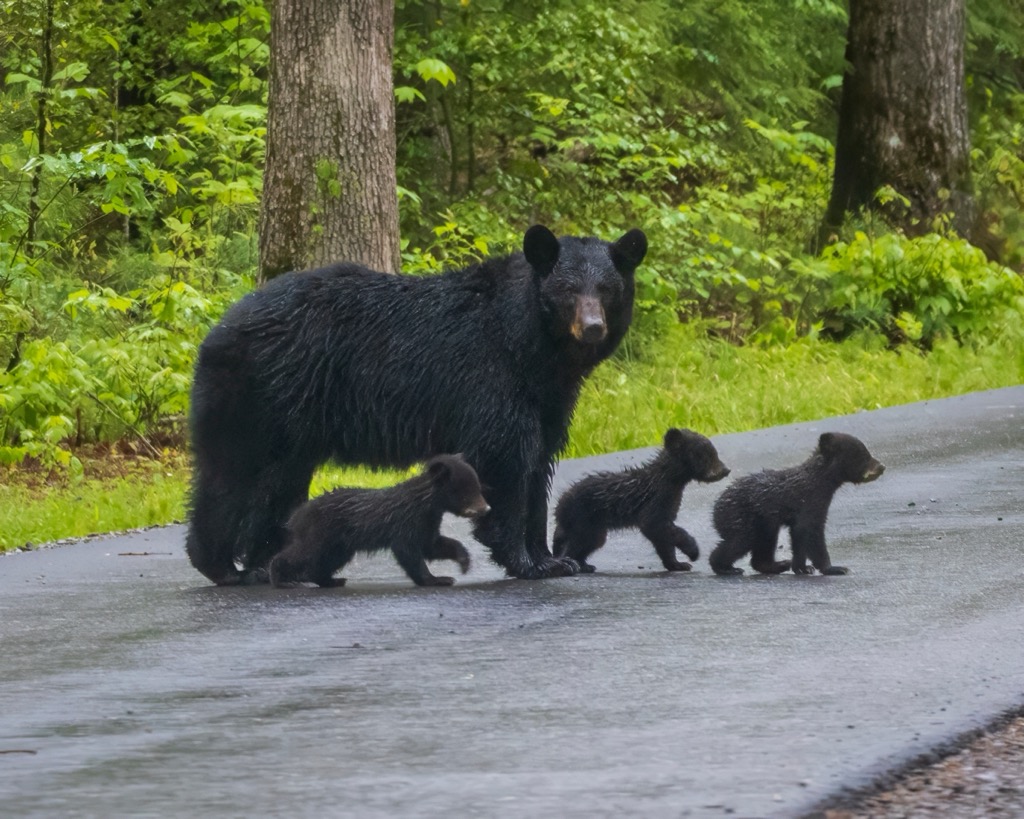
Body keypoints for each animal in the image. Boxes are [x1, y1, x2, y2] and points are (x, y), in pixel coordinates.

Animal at [269, 454, 490, 588]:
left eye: (478, 487)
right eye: (466, 492)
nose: (485, 509)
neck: (425, 503)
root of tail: (296, 516)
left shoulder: (428, 522)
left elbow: (433, 545)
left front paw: (464, 562)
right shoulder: (405, 521)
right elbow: (407, 551)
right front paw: (436, 579)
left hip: (340, 544)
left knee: (326, 561)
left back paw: (332, 580)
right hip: (320, 533)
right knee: (303, 553)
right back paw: (281, 578)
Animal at [552, 428, 730, 573]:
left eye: (714, 452)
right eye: (706, 454)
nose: (726, 470)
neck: (670, 480)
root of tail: (559, 506)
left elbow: (663, 538)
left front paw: (677, 564)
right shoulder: (656, 499)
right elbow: (653, 524)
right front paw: (693, 552)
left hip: (593, 525)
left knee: (590, 541)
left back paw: (584, 564)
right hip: (583, 518)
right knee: (578, 542)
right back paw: (572, 564)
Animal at [709, 432, 885, 576]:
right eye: (864, 455)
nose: (882, 466)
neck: (820, 481)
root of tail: (716, 507)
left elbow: (799, 535)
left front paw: (802, 567)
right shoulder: (811, 501)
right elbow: (810, 530)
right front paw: (834, 568)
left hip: (764, 522)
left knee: (764, 542)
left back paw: (778, 565)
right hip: (739, 516)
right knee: (741, 540)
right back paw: (725, 568)